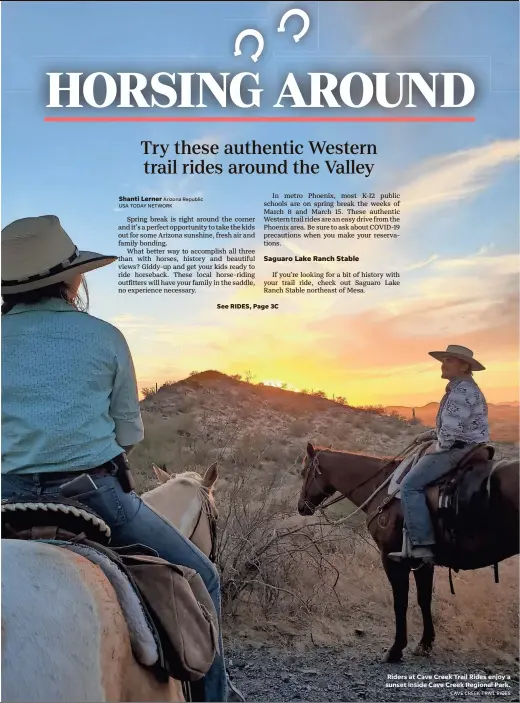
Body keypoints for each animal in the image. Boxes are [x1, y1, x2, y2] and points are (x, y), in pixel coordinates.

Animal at [298, 442, 516, 664]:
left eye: (304, 472)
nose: (301, 507)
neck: (380, 486)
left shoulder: (392, 559)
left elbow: (400, 602)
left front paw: (395, 649)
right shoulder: (422, 562)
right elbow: (424, 599)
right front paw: (425, 644)